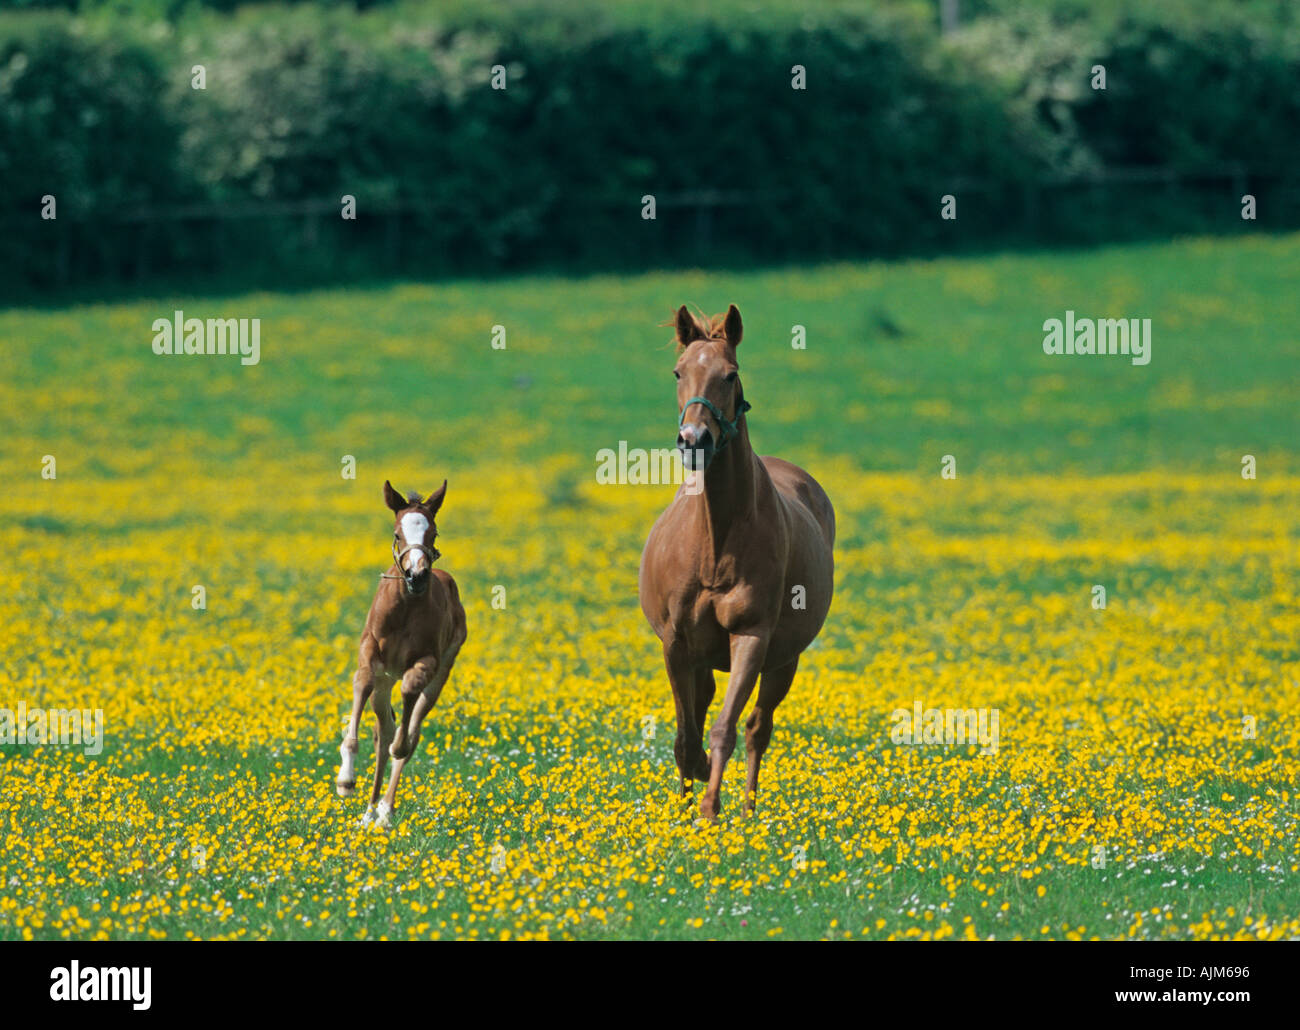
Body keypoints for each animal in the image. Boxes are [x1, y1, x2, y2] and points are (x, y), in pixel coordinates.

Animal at [335, 479, 467, 828]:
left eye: (433, 533)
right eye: (397, 534)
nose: (417, 576)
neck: (405, 607)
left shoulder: (428, 661)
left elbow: (408, 705)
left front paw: (399, 745)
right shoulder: (370, 656)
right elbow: (362, 686)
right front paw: (345, 779)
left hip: (440, 674)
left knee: (411, 729)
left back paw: (384, 811)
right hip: (385, 681)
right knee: (382, 732)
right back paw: (369, 811)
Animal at [638, 305, 835, 819]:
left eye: (730, 374)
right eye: (678, 372)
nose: (693, 440)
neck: (716, 540)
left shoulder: (752, 637)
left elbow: (725, 727)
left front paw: (710, 807)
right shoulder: (676, 644)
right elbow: (686, 736)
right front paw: (691, 797)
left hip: (784, 659)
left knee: (757, 729)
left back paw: (746, 808)